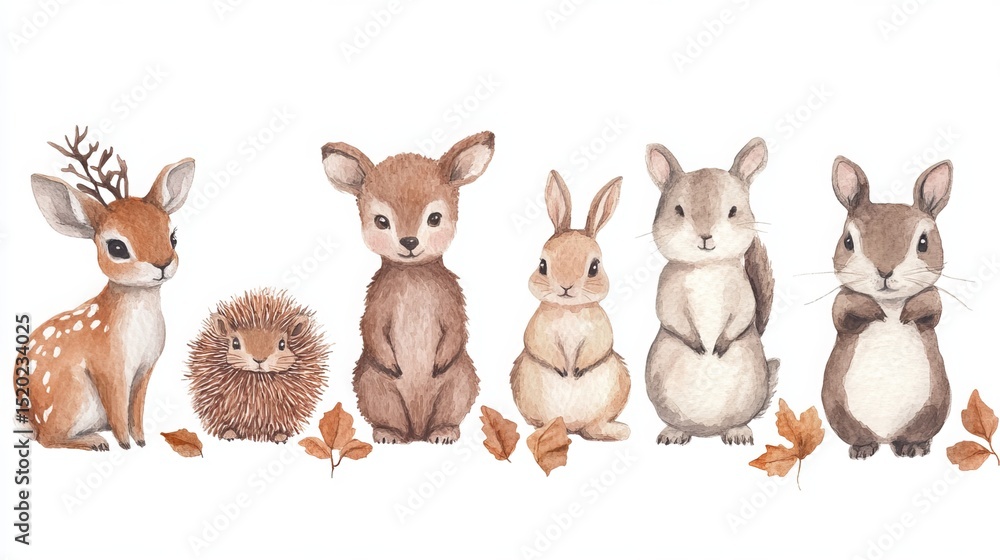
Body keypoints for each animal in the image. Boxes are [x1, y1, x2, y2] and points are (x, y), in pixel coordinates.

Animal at [15, 126, 195, 451]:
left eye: (173, 236)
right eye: (116, 247)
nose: (162, 264)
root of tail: (27, 420)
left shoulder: (145, 369)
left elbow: (136, 409)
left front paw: (141, 441)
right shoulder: (107, 368)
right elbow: (119, 407)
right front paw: (125, 445)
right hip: (70, 396)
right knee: (48, 438)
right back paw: (96, 441)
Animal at [510, 171, 631, 441]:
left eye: (594, 267)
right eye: (542, 265)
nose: (565, 287)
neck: (569, 310)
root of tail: (572, 427)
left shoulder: (600, 331)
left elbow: (597, 348)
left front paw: (576, 369)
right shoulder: (537, 330)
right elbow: (539, 346)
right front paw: (562, 369)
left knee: (594, 428)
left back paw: (618, 431)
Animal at [644, 137, 779, 445]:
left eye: (733, 210)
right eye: (678, 210)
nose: (705, 237)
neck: (706, 267)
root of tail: (707, 431)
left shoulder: (741, 291)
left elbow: (743, 315)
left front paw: (717, 347)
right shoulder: (667, 288)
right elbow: (669, 315)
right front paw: (698, 345)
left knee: (739, 422)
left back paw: (738, 433)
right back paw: (674, 434)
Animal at [822, 156, 953, 459]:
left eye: (924, 243)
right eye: (848, 242)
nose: (884, 271)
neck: (890, 303)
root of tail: (885, 437)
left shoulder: (933, 300)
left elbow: (932, 306)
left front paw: (908, 312)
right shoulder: (842, 302)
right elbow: (843, 310)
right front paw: (874, 311)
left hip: (934, 407)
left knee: (915, 434)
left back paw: (912, 447)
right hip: (838, 409)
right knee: (859, 437)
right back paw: (863, 449)